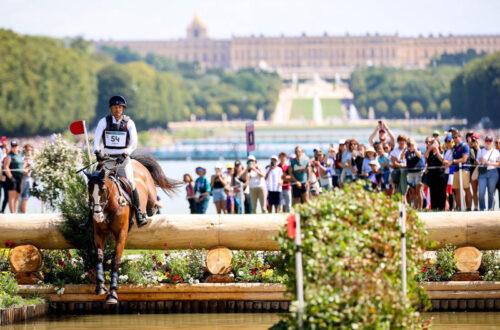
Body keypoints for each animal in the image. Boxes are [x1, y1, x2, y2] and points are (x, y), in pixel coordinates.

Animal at [84, 153, 180, 306]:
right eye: (89, 190)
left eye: (103, 190)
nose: (98, 216)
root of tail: (136, 162)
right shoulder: (98, 234)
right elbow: (99, 257)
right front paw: (100, 287)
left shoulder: (121, 234)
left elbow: (115, 260)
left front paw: (112, 293)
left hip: (150, 196)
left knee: (153, 206)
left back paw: (146, 214)